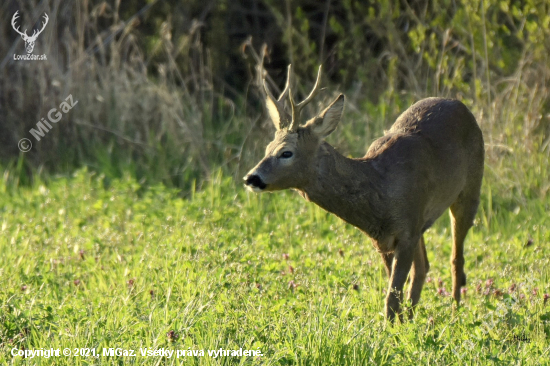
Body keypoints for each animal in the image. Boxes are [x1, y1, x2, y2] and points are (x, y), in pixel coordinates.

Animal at [244, 64, 486, 322]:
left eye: (286, 152)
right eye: (267, 148)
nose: (251, 178)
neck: (379, 192)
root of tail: (461, 105)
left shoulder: (407, 230)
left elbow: (392, 296)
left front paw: (393, 329)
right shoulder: (385, 238)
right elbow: (395, 292)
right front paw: (400, 325)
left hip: (470, 190)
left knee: (456, 259)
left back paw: (455, 311)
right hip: (423, 222)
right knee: (423, 268)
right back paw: (414, 317)